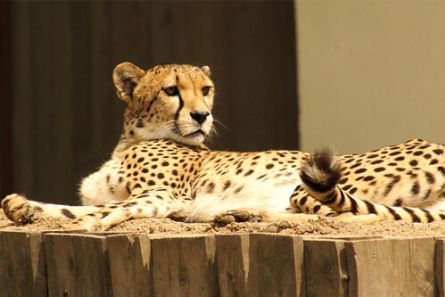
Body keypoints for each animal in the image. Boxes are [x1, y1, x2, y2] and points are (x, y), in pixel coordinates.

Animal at [2, 61, 444, 230]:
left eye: (206, 90)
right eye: (171, 91)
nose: (202, 116)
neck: (132, 139)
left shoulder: (163, 194)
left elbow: (107, 210)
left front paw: (87, 224)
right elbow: (72, 206)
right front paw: (22, 207)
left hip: (310, 182)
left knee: (353, 217)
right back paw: (237, 214)